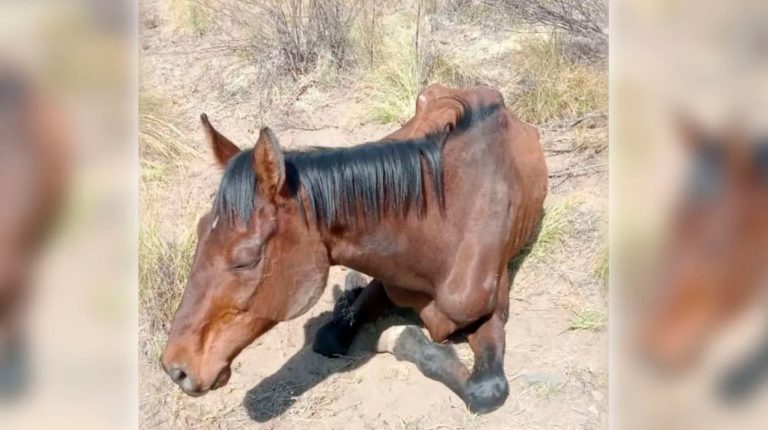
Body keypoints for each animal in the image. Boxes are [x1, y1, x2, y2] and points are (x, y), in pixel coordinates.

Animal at [161, 84, 547, 413]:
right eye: (200, 231)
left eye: (246, 258)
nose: (175, 368)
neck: (448, 229)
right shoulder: (385, 275)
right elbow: (334, 333)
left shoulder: (493, 312)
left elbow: (484, 390)